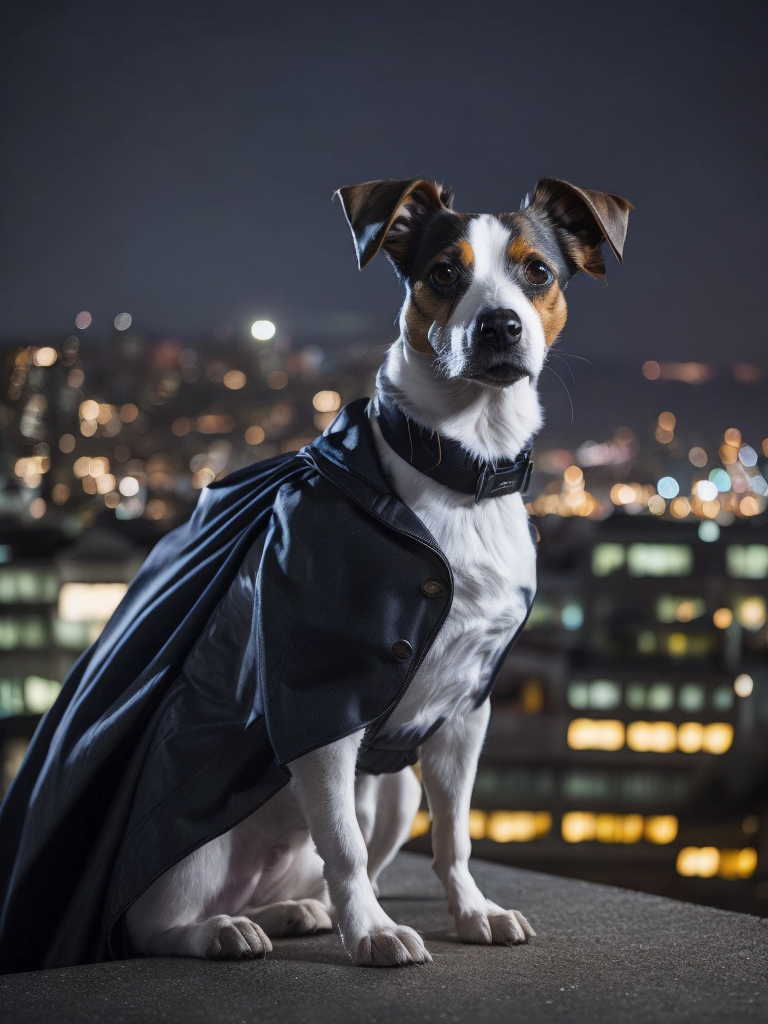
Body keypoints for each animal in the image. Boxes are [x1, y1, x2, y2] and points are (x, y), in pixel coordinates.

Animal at [118, 176, 630, 966]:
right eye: (444, 274)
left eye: (537, 272)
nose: (499, 327)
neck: (463, 469)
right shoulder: (320, 711)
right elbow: (346, 848)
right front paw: (373, 932)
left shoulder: (466, 710)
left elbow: (454, 836)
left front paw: (472, 911)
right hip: (195, 852)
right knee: (154, 923)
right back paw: (220, 930)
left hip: (394, 795)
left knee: (312, 872)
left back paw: (289, 910)